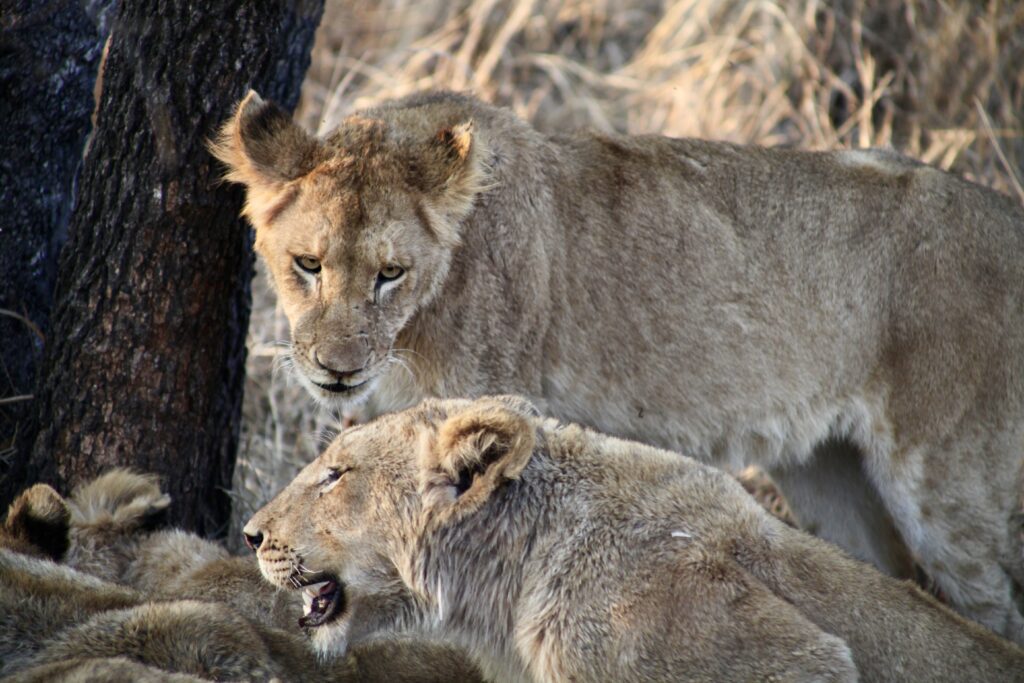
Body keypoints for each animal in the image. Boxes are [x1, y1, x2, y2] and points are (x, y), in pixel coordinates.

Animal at [214, 88, 1024, 638]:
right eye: (308, 264)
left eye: (390, 273)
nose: (338, 369)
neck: (415, 326)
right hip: (828, 473)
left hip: (948, 486)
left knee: (994, 603)